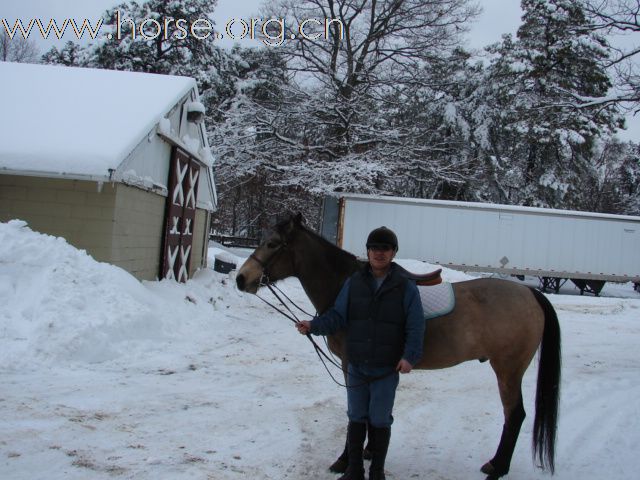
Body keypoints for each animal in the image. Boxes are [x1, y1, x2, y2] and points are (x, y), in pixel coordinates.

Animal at [235, 215, 560, 480]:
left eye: (272, 243)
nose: (241, 278)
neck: (347, 289)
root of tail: (530, 293)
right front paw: (368, 450)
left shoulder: (352, 365)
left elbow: (356, 413)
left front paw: (344, 460)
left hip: (507, 370)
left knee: (515, 415)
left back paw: (497, 467)